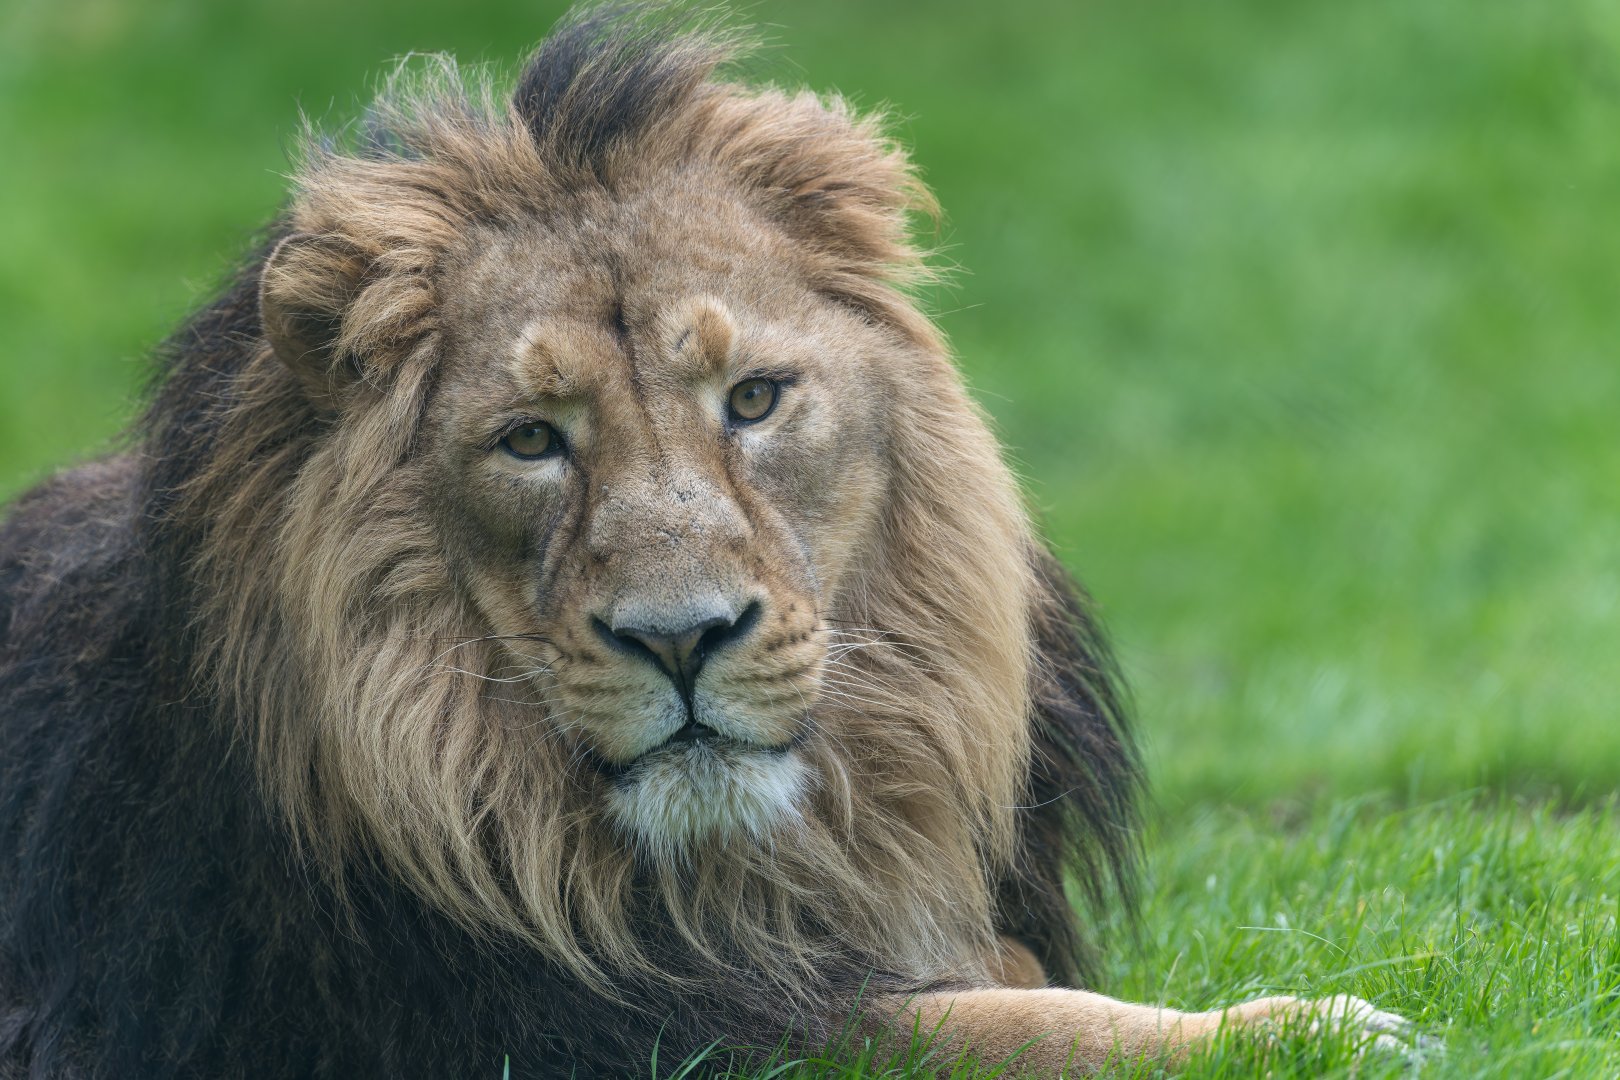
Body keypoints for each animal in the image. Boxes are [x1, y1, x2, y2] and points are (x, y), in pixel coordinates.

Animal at [0, 6, 1410, 1076]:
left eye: (754, 399)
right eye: (531, 440)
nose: (681, 641)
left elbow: (1001, 976)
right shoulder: (634, 1034)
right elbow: (997, 1027)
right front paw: (1308, 1026)